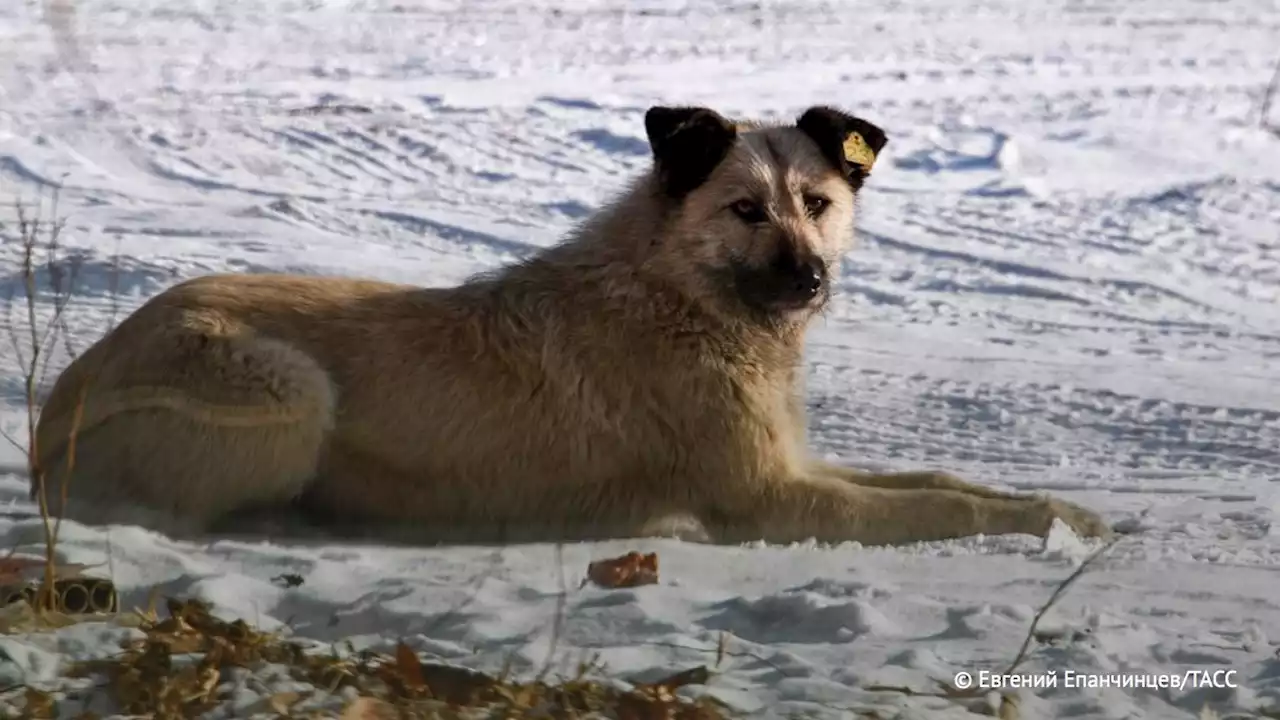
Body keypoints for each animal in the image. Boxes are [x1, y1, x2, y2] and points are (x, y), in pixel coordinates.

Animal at [30, 105, 1111, 543]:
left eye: (817, 202)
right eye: (743, 210)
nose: (808, 280)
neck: (681, 297)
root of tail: (56, 409)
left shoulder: (794, 465)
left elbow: (947, 482)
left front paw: (1072, 513)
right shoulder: (772, 501)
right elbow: (948, 510)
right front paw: (1039, 524)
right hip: (291, 393)